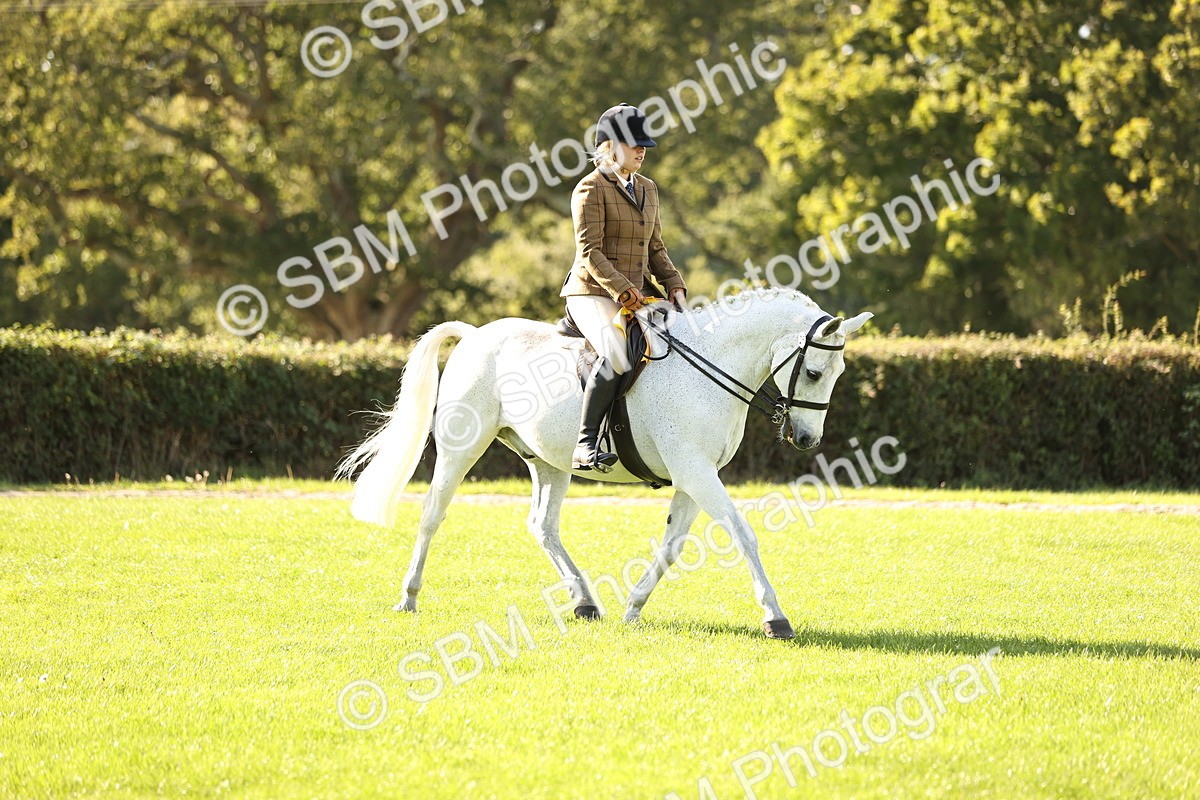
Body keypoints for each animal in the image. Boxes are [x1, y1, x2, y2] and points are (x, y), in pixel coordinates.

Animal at [337, 287, 872, 638]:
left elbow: (672, 546)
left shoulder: (694, 477)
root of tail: (474, 336)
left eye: (839, 372)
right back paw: (408, 596)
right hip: (460, 450)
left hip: (548, 462)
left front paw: (634, 607)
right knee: (432, 515)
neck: (712, 366)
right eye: (814, 372)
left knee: (543, 526)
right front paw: (775, 617)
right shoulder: (696, 473)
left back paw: (585, 601)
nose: (806, 439)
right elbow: (743, 535)